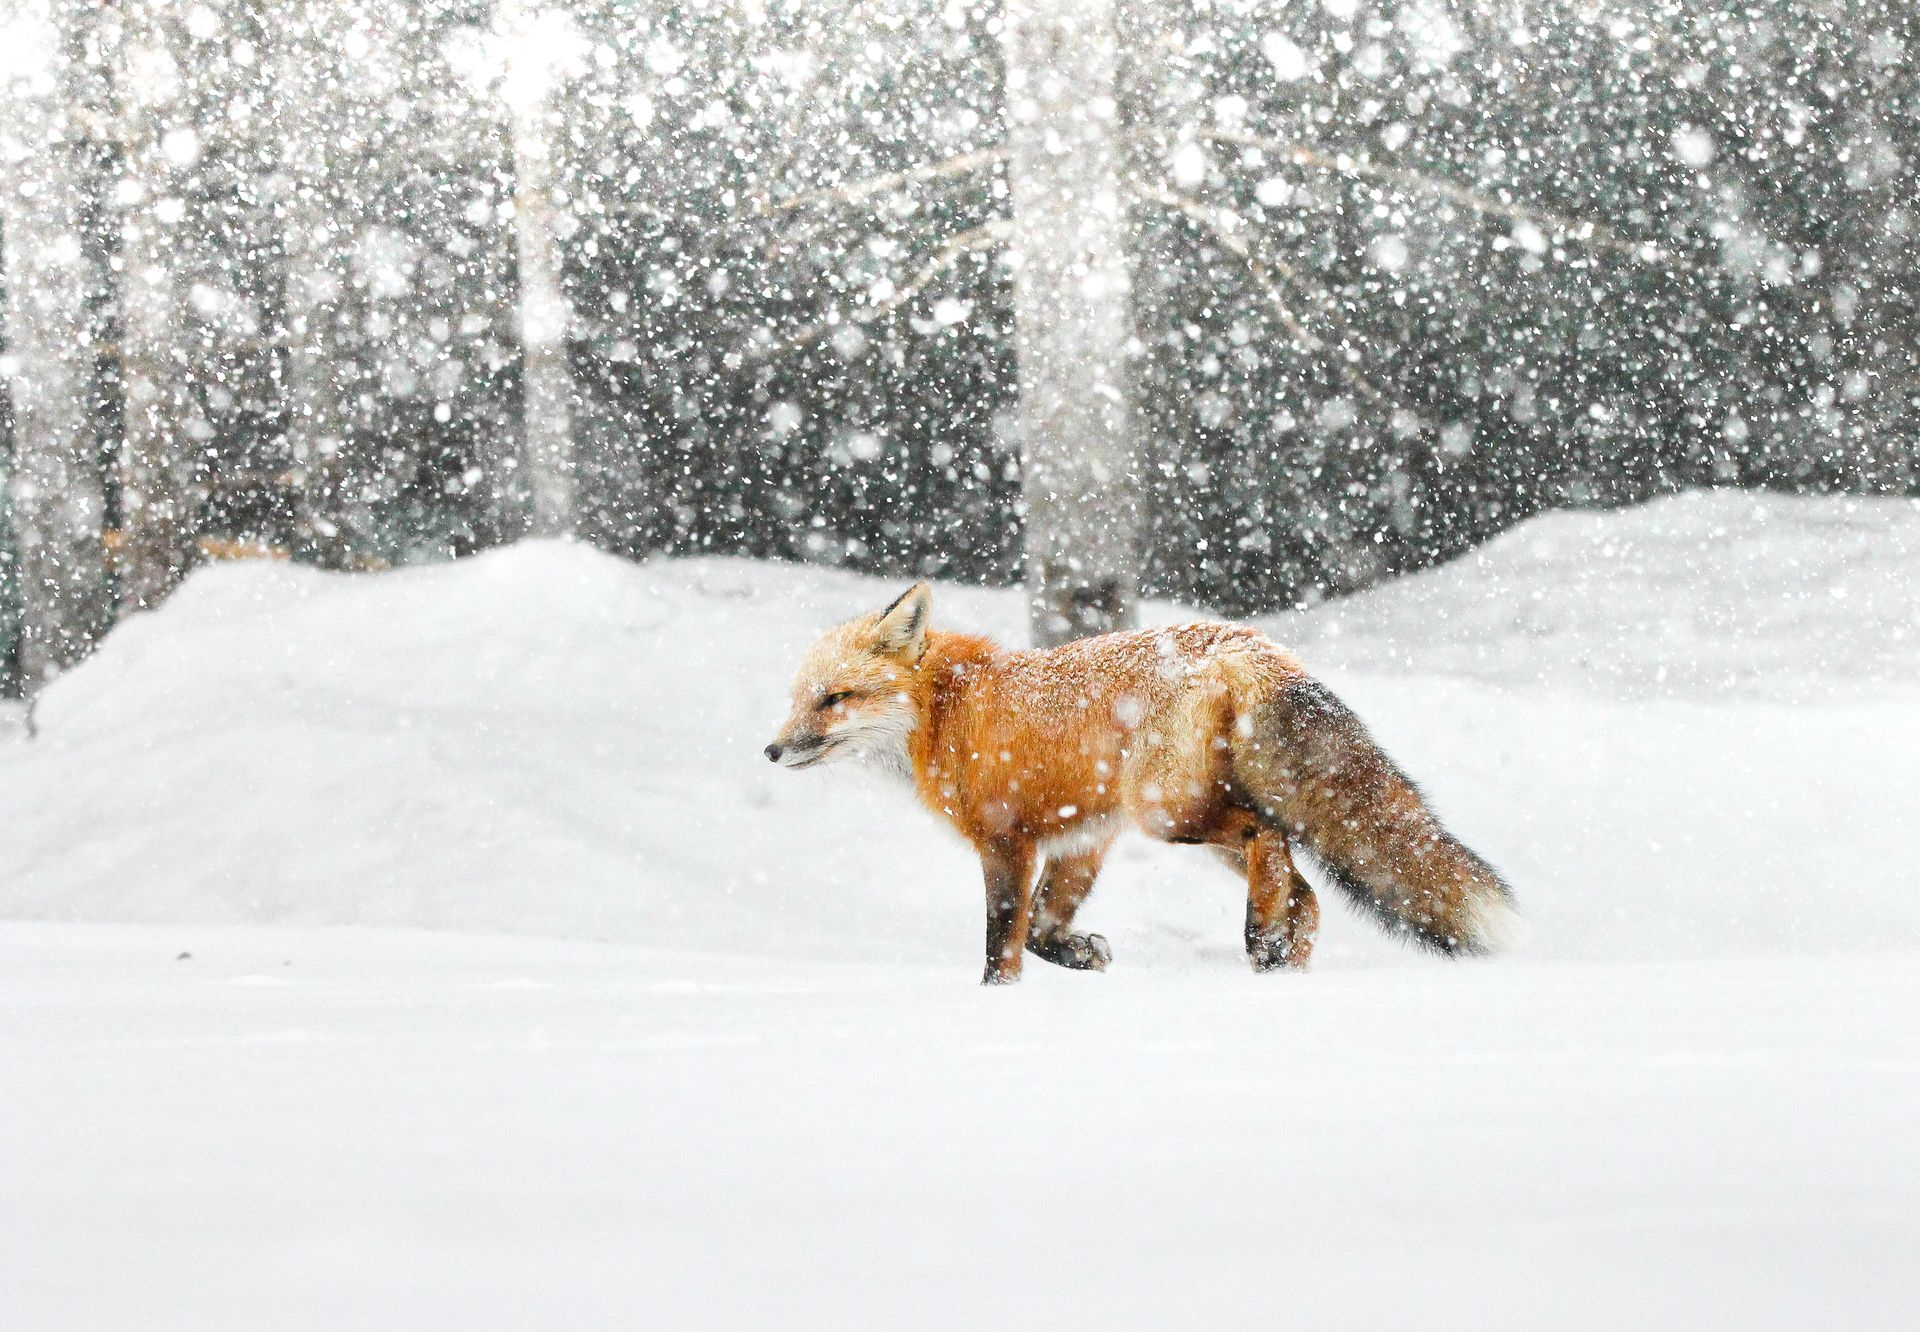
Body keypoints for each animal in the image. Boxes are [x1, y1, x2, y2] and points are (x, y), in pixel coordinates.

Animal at [756, 583, 1520, 982]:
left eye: (834, 699)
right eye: (798, 699)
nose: (771, 749)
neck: (950, 709)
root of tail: (1251, 644)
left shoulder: (1007, 840)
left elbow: (1004, 941)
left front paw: (998, 1001)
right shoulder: (1080, 839)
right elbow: (1044, 928)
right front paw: (1079, 954)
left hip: (1167, 814)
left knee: (1269, 839)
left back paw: (1262, 938)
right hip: (1194, 818)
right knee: (1302, 886)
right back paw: (1281, 961)